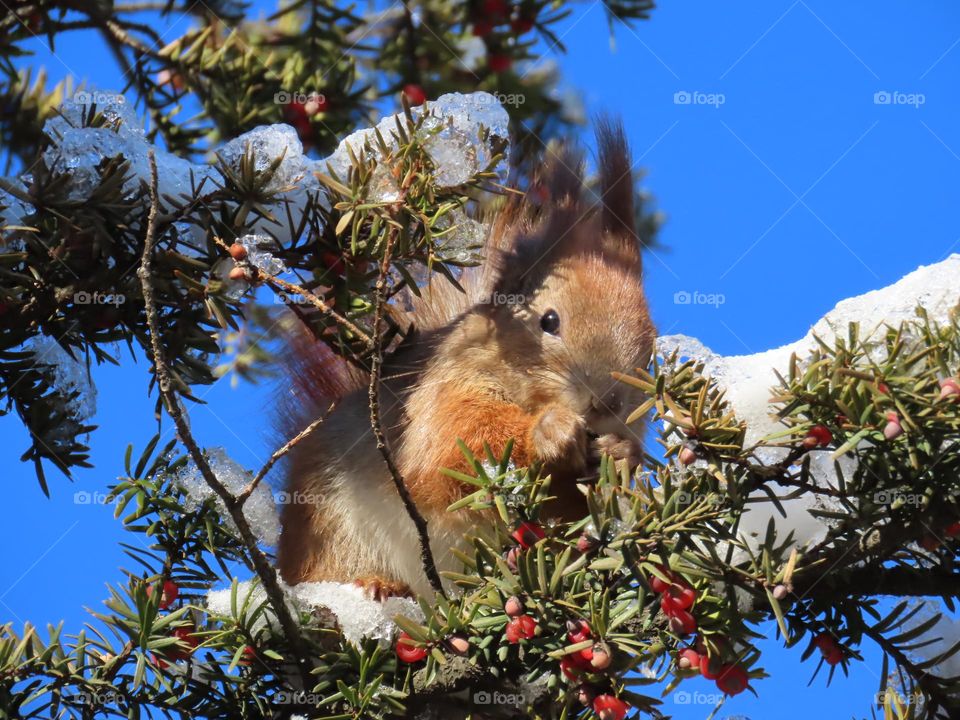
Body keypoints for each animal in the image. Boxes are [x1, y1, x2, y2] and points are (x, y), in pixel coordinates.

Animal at [276, 120, 656, 598]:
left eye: (650, 349)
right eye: (549, 321)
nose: (605, 404)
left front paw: (622, 454)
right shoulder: (444, 392)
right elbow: (453, 450)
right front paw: (549, 430)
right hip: (331, 529)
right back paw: (377, 584)